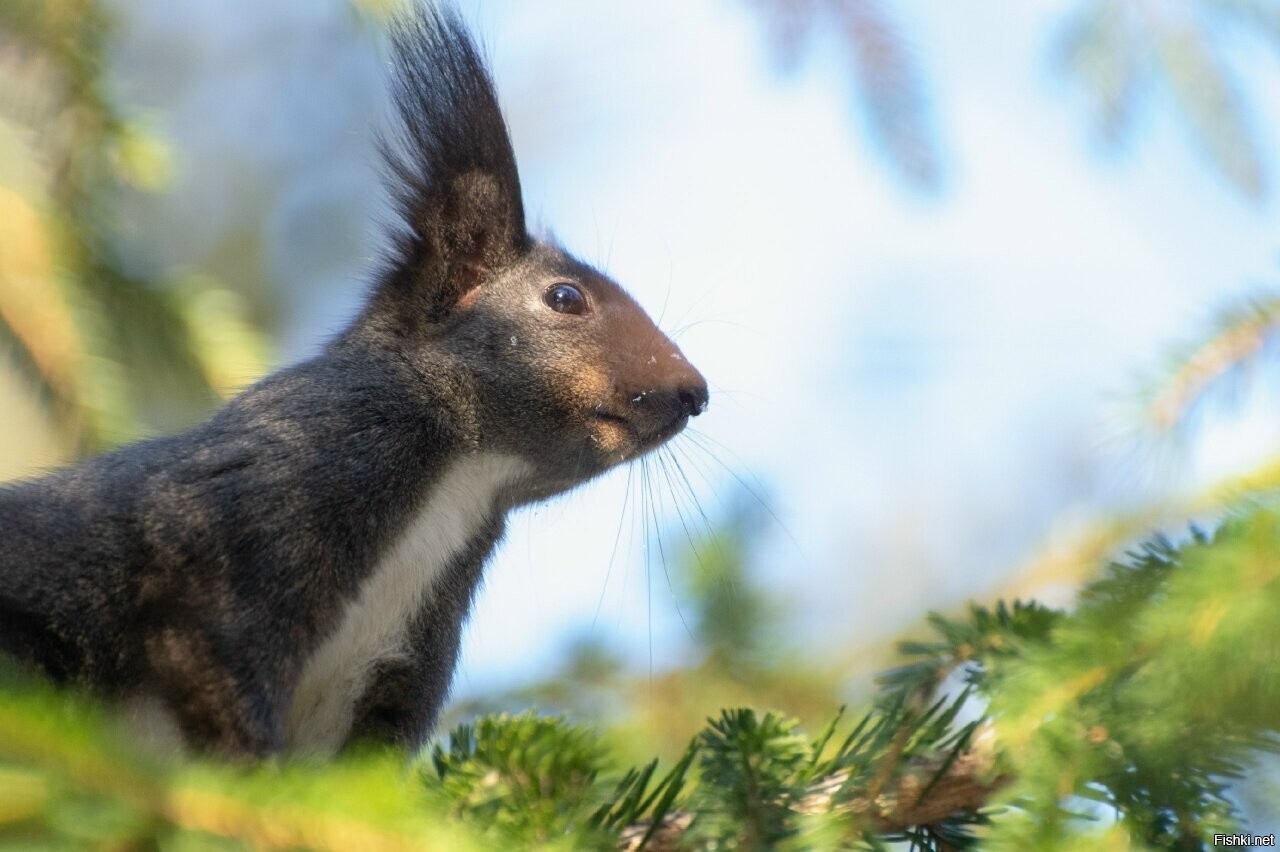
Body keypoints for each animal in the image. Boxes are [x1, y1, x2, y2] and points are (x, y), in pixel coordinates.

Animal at [0, 5, 707, 757]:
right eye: (566, 298)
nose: (696, 392)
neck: (467, 476)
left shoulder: (392, 670)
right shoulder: (284, 487)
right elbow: (208, 666)